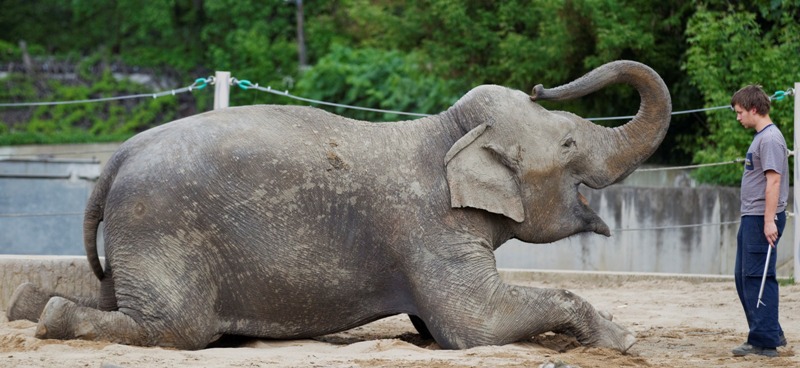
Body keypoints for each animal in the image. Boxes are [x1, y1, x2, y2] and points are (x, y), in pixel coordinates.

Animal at [7, 59, 668, 350]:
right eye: (568, 143)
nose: (540, 83)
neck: (445, 132)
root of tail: (115, 158)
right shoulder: (429, 227)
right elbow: (473, 326)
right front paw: (623, 341)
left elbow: (437, 326)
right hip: (160, 223)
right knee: (177, 327)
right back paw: (51, 318)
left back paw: (26, 305)